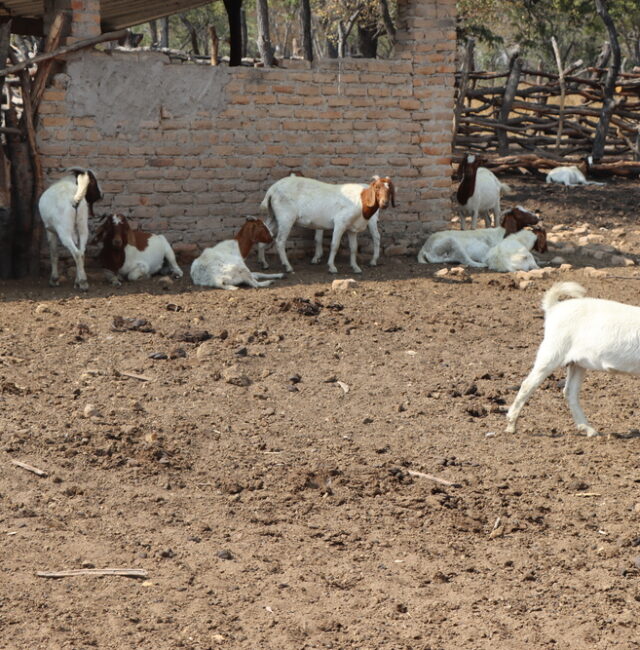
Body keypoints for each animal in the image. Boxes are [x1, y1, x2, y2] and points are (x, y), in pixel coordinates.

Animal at [258, 173, 392, 272]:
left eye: (389, 189)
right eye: (377, 188)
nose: (385, 203)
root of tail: (272, 190)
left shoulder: (351, 227)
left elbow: (353, 247)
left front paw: (355, 267)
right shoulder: (340, 222)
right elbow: (334, 244)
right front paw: (331, 267)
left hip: (274, 216)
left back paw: (264, 263)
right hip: (285, 217)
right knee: (280, 241)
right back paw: (288, 266)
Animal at [504, 282, 640, 438]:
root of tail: (554, 307)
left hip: (577, 363)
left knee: (569, 392)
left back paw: (588, 429)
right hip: (553, 351)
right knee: (528, 384)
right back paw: (511, 425)